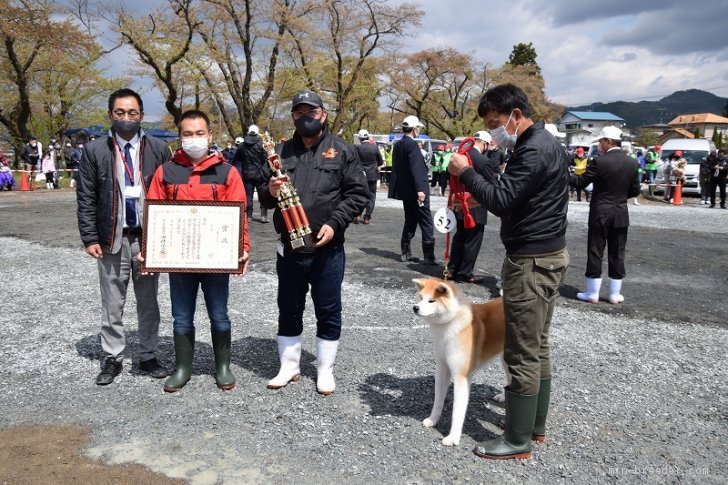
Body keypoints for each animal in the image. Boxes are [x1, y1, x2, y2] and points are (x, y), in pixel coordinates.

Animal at [412, 276, 510, 446]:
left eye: (431, 300)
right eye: (420, 297)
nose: (415, 307)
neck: (450, 326)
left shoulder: (460, 377)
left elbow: (457, 412)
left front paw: (453, 437)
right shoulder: (442, 369)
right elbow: (438, 401)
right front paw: (432, 420)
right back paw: (503, 397)